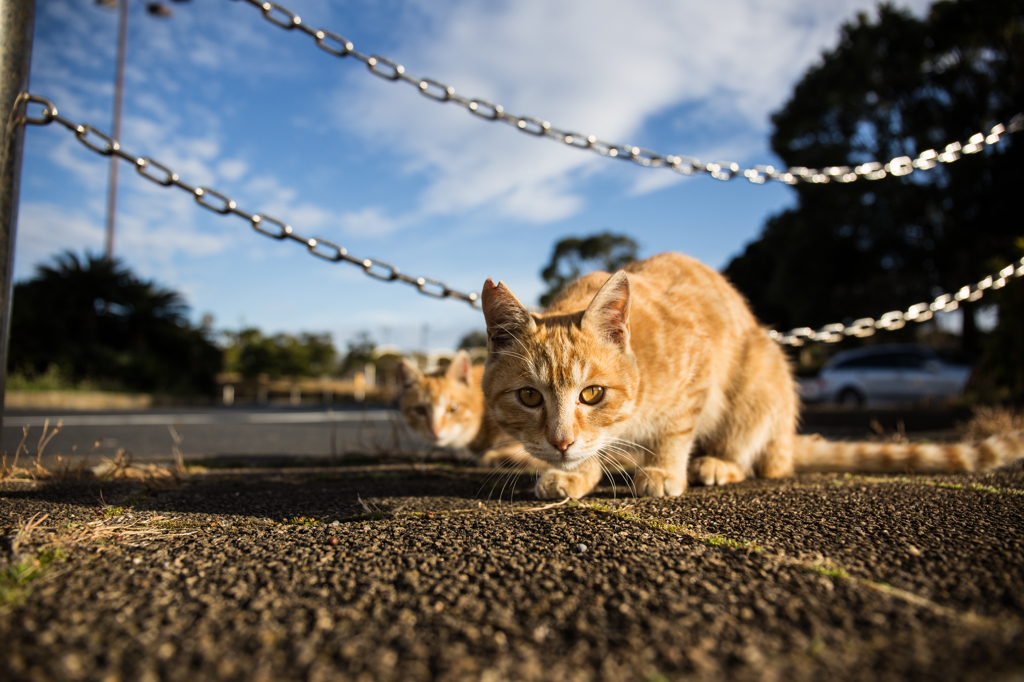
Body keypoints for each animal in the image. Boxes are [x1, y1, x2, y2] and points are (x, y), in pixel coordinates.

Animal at [479, 251, 1024, 497]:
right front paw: (575, 474)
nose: (561, 442)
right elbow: (600, 450)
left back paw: (718, 464)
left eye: (592, 394)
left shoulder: (698, 376)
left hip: (763, 378)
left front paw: (663, 471)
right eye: (530, 397)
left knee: (761, 460)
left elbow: (674, 433)